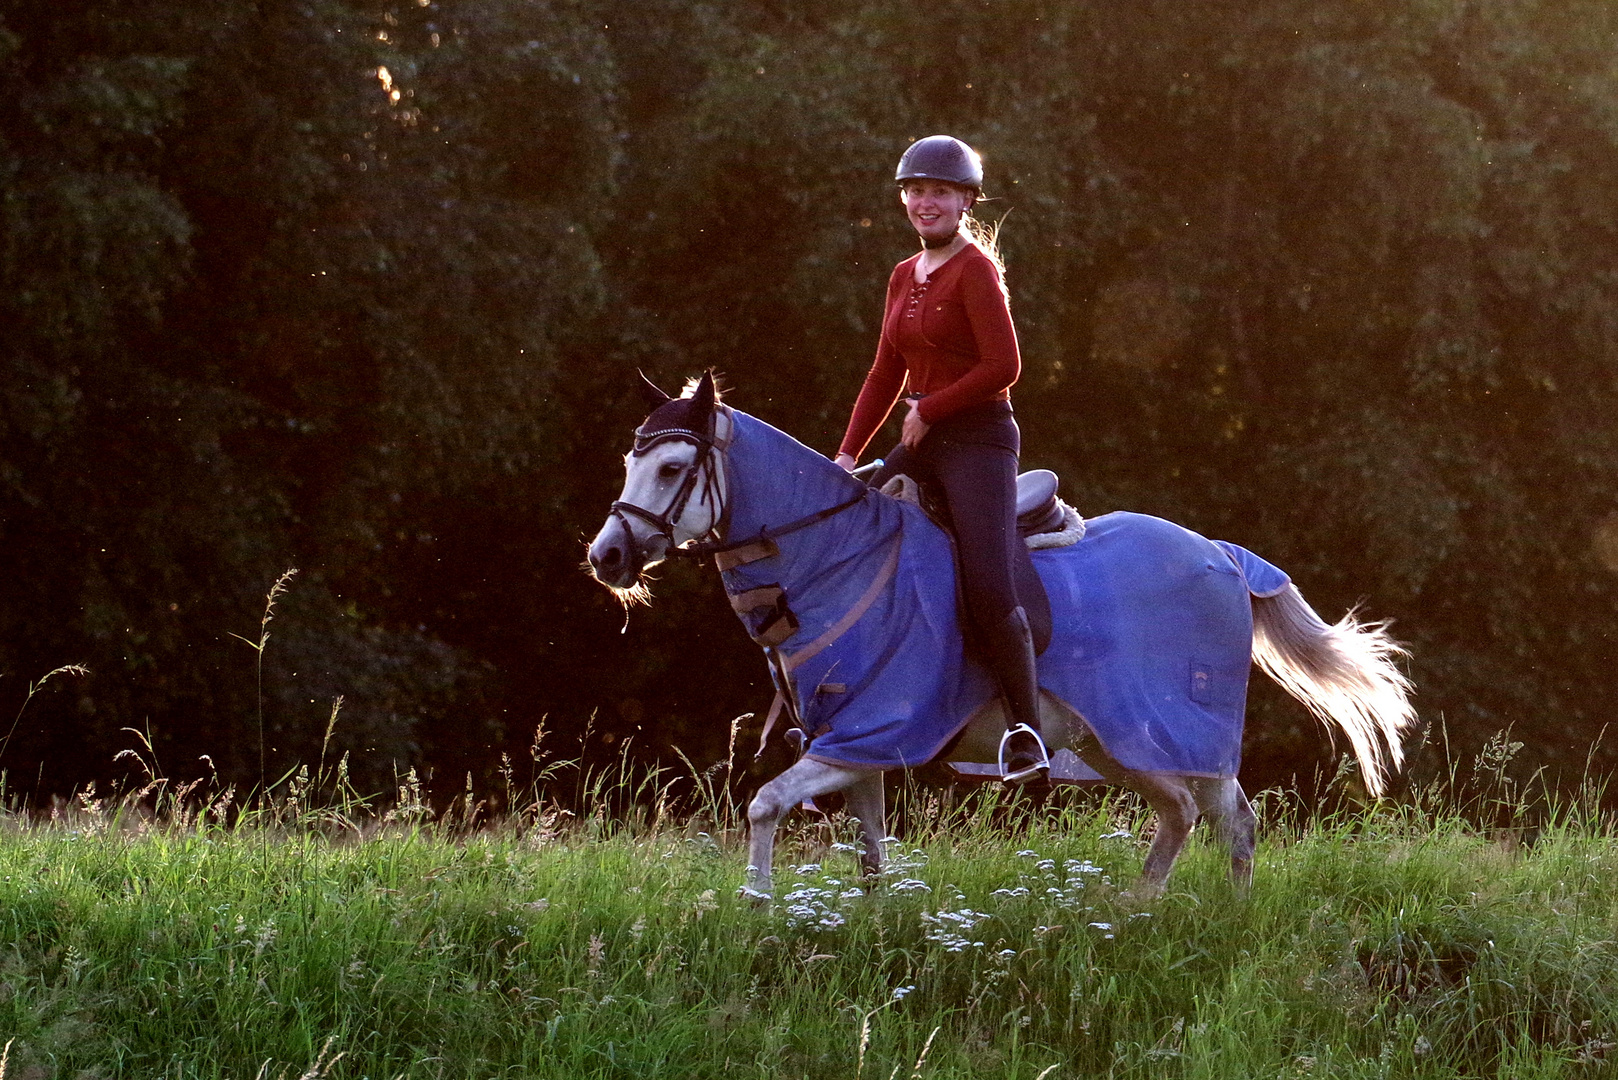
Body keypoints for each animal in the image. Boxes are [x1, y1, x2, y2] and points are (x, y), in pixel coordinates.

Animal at [592, 375, 1417, 900]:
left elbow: (765, 805)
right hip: (1115, 742)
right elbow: (870, 854)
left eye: (673, 466)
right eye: (631, 460)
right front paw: (871, 923)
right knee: (1181, 813)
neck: (833, 556)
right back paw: (1134, 911)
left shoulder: (868, 733)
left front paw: (757, 904)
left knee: (1234, 822)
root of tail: (1222, 554)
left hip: (1180, 735)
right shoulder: (857, 747)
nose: (607, 557)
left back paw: (1230, 922)